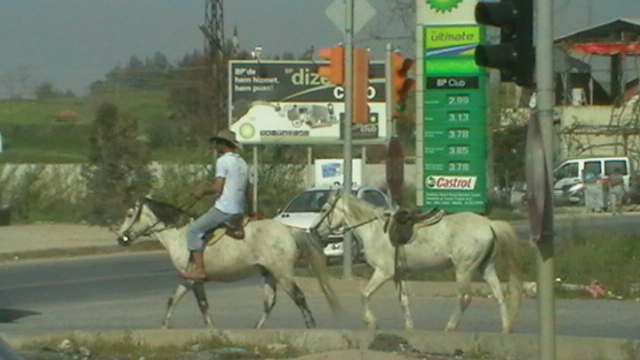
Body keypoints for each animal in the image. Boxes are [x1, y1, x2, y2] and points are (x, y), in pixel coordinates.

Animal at [117, 198, 342, 330]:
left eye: (129, 214)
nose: (120, 239)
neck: (180, 235)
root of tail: (289, 231)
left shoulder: (193, 279)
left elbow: (202, 304)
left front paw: (210, 328)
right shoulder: (188, 277)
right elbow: (174, 299)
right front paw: (164, 326)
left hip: (282, 273)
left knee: (298, 296)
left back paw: (310, 325)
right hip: (268, 274)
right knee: (269, 302)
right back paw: (257, 328)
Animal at [312, 191, 524, 334]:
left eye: (324, 209)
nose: (314, 230)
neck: (375, 230)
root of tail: (488, 223)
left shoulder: (383, 272)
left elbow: (364, 295)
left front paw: (371, 322)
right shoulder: (399, 275)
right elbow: (404, 301)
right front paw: (409, 327)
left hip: (464, 269)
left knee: (464, 298)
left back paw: (450, 326)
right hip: (485, 267)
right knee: (499, 295)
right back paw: (506, 328)